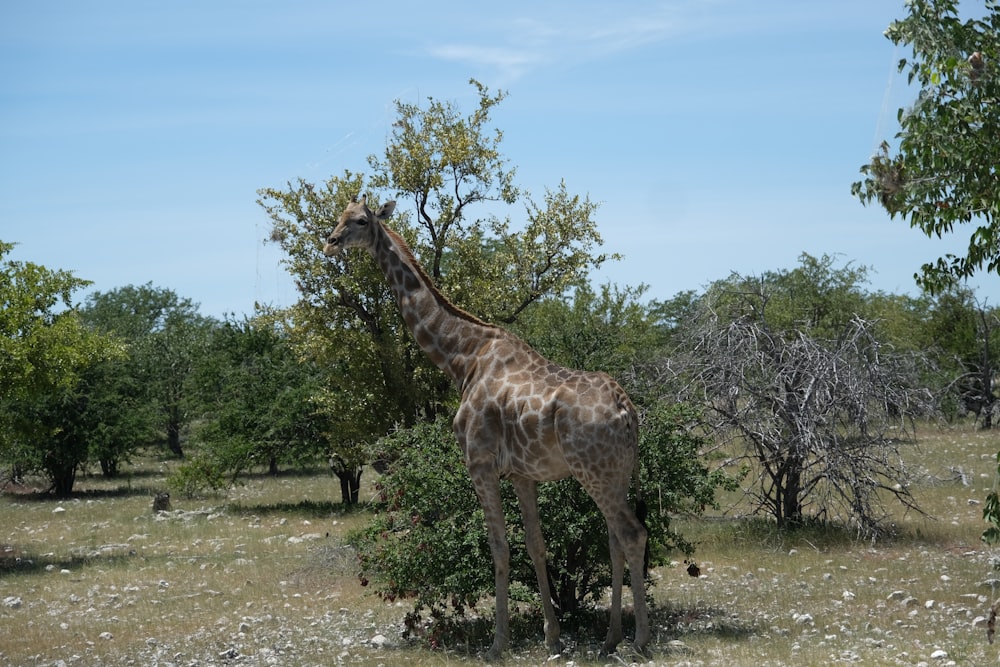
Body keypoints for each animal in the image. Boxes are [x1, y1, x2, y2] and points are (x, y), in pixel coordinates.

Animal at [322, 196, 648, 660]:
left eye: (361, 221)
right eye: (339, 216)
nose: (330, 243)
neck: (461, 358)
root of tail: (628, 410)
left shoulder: (478, 462)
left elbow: (499, 547)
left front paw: (498, 643)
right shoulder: (522, 474)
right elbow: (535, 544)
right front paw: (552, 636)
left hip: (594, 471)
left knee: (632, 534)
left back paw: (639, 639)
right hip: (615, 472)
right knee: (614, 538)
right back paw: (610, 637)